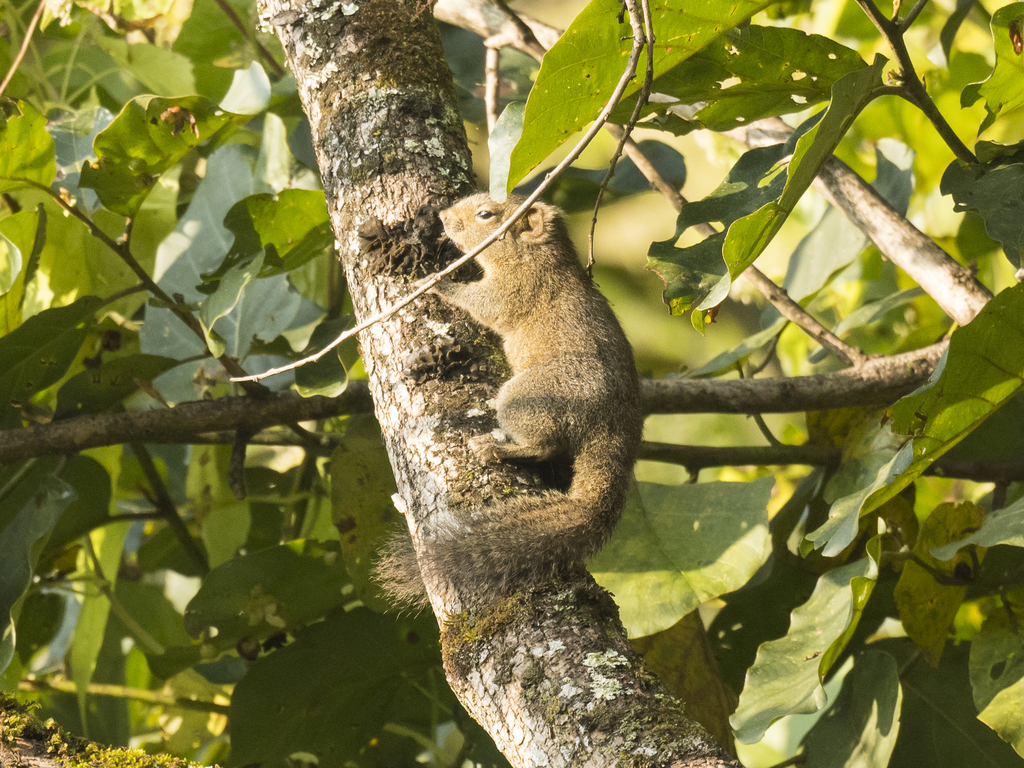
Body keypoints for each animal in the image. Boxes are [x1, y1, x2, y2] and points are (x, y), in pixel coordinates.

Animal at [376, 193, 643, 606]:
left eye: (486, 214)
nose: (442, 216)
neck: (539, 256)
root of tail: (614, 428)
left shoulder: (518, 288)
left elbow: (484, 304)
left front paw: (437, 281)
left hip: (532, 395)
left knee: (545, 444)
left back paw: (496, 448)